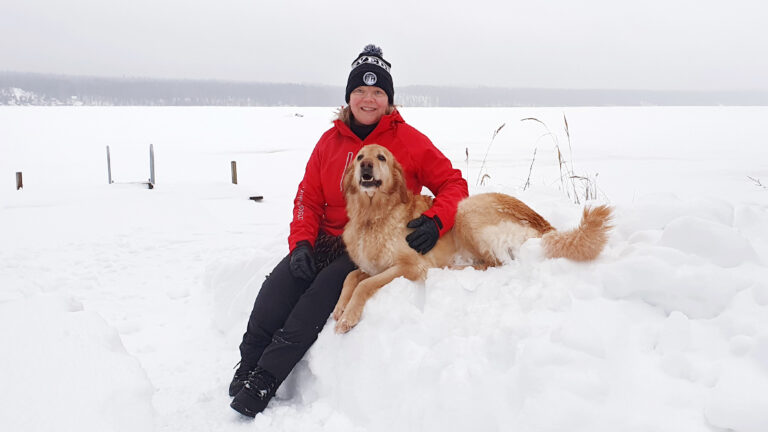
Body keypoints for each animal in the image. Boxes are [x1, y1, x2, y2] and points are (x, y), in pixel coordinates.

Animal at [330, 143, 612, 332]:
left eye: (381, 157)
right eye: (359, 157)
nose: (365, 166)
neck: (372, 217)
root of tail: (542, 223)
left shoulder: (409, 266)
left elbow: (366, 284)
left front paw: (348, 316)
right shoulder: (372, 266)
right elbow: (351, 276)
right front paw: (340, 307)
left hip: (465, 211)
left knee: (493, 265)